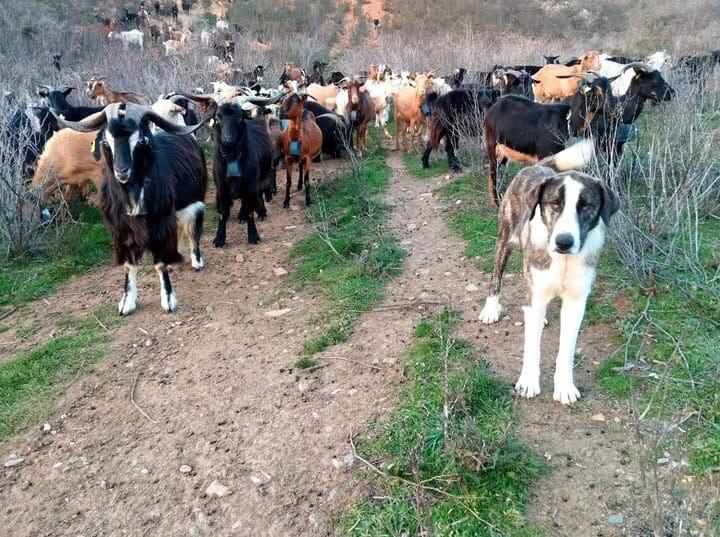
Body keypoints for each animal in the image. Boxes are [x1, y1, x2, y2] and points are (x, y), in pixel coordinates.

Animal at [57, 100, 210, 314]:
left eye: (140, 141)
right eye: (106, 142)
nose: (122, 171)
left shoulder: (158, 223)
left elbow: (160, 263)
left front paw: (168, 300)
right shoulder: (123, 228)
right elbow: (129, 265)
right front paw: (126, 303)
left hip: (195, 201)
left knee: (192, 229)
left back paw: (197, 261)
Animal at [478, 140, 620, 404]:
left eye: (586, 206)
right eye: (555, 204)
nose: (564, 241)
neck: (563, 260)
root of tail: (537, 168)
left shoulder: (576, 303)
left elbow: (566, 350)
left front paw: (564, 386)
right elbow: (532, 349)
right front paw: (528, 382)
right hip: (505, 240)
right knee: (496, 277)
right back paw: (491, 308)